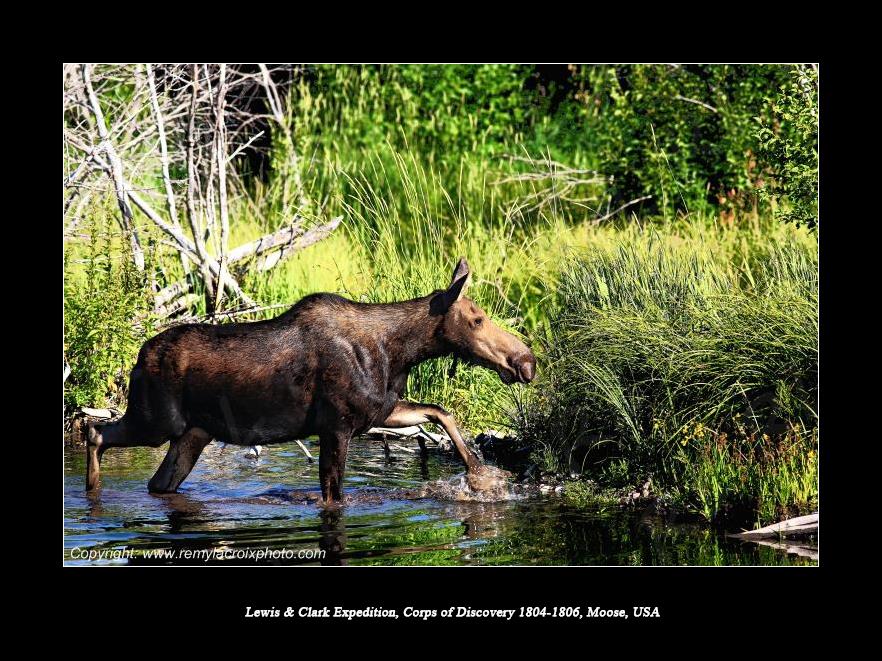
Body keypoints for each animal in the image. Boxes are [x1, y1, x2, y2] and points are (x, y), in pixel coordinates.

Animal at [86, 258, 536, 505]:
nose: (526, 361)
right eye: (477, 320)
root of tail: (139, 355)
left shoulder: (378, 411)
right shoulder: (336, 425)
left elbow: (441, 412)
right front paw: (481, 475)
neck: (399, 354)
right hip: (156, 421)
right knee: (96, 432)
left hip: (193, 433)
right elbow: (334, 496)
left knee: (158, 482)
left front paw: (481, 476)